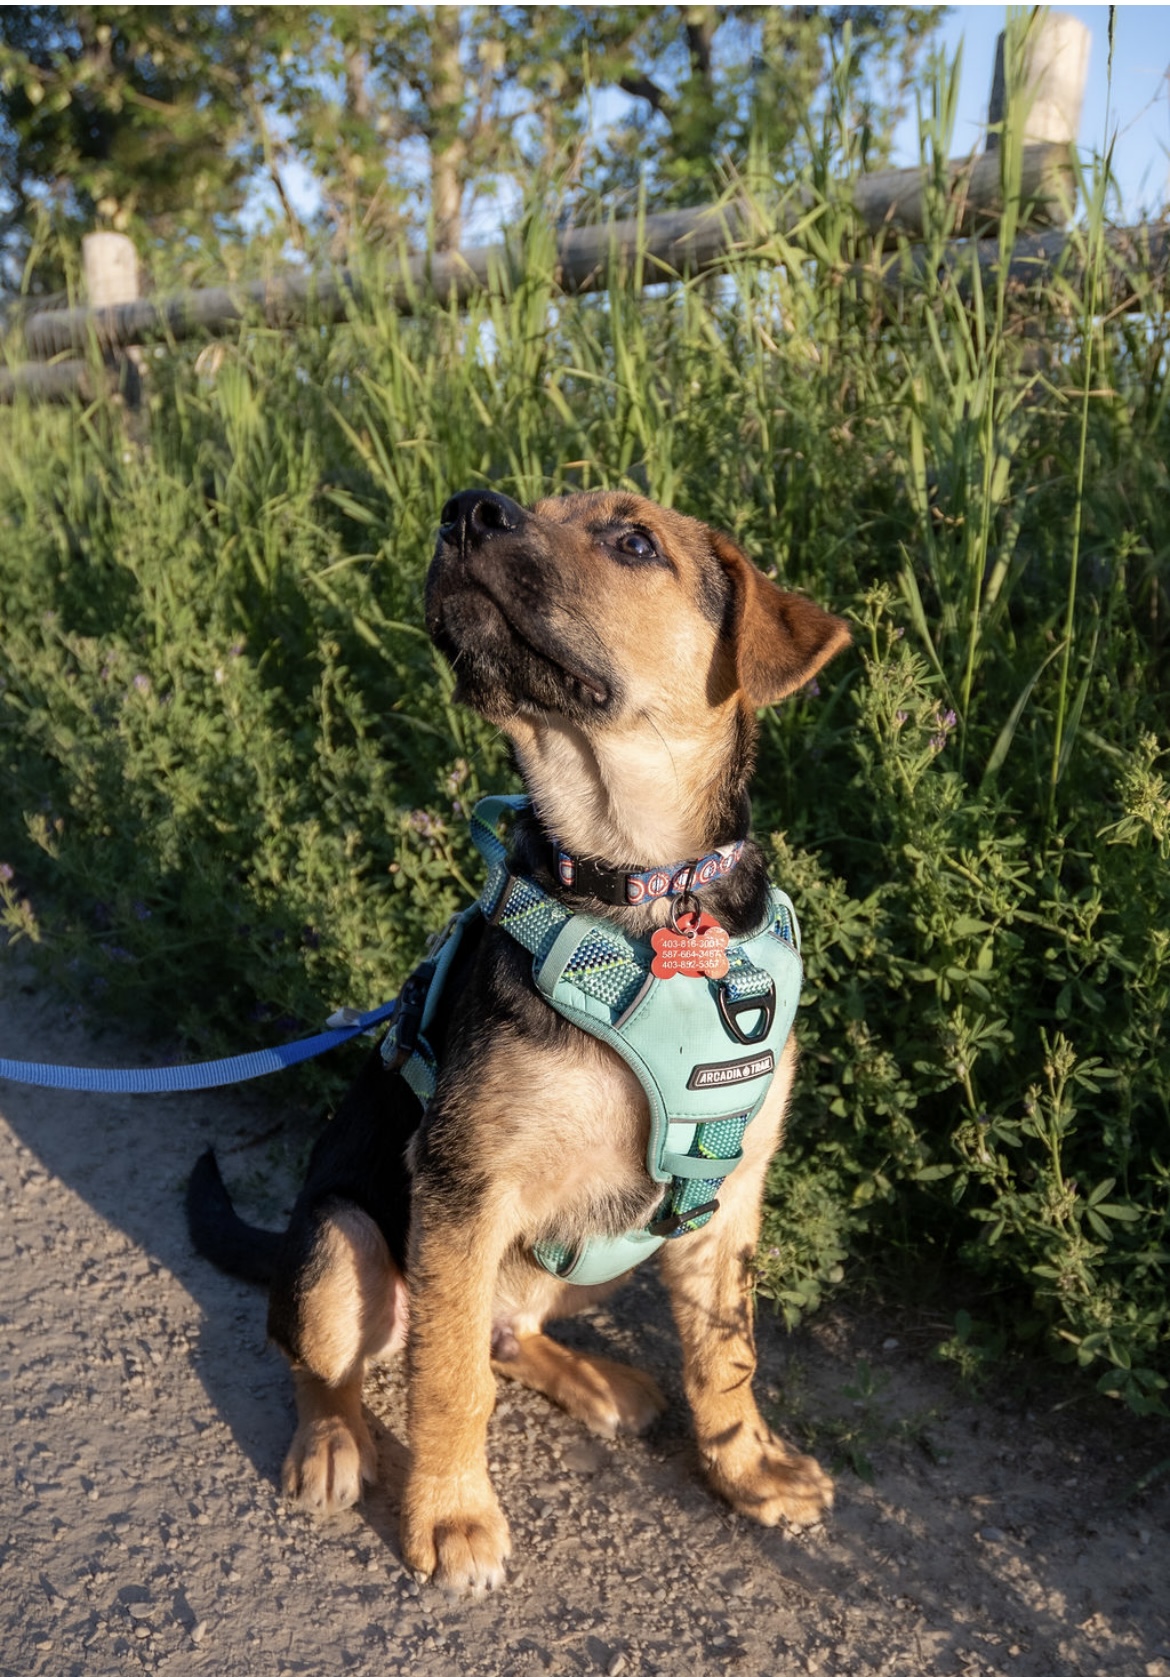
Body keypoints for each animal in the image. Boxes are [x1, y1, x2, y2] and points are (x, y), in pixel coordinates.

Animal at [187, 487, 851, 1595]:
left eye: (634, 540)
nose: (468, 509)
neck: (639, 892)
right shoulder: (463, 1187)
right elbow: (446, 1382)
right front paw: (452, 1517)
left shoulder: (730, 1197)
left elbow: (729, 1355)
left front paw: (747, 1470)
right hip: (340, 1241)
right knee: (334, 1358)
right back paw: (333, 1443)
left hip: (614, 1247)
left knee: (506, 1329)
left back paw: (593, 1379)